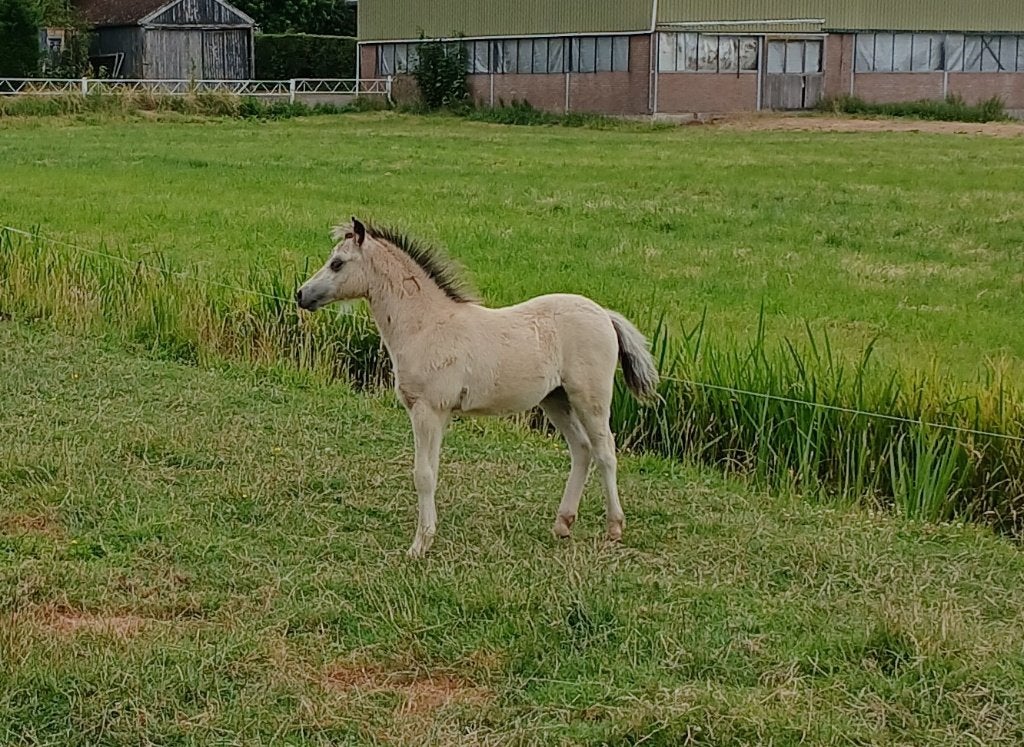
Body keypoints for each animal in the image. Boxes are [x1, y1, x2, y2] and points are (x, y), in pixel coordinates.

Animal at [296, 218, 659, 557]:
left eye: (337, 263)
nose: (301, 295)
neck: (426, 326)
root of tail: (605, 315)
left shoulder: (427, 410)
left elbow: (422, 475)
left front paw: (419, 546)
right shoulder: (438, 415)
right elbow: (432, 471)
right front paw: (427, 536)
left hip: (590, 398)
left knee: (605, 451)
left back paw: (614, 528)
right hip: (556, 400)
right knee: (581, 449)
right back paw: (562, 524)